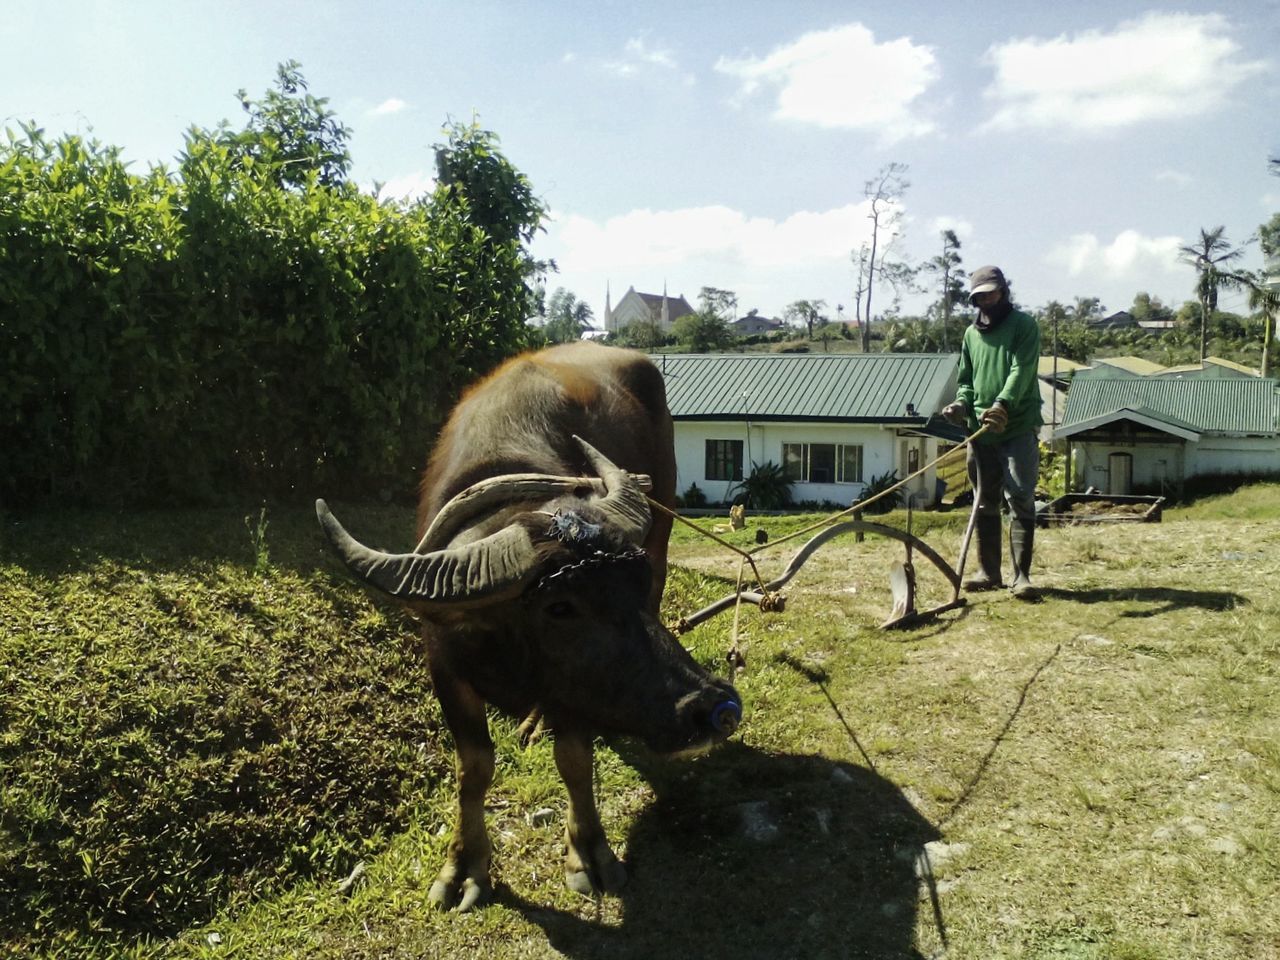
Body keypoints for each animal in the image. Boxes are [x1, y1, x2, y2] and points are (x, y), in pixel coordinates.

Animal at [314, 343, 747, 911]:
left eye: (635, 582)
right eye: (560, 607)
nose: (717, 707)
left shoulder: (577, 686)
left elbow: (575, 760)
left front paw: (589, 852)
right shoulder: (445, 668)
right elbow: (473, 766)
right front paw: (463, 866)